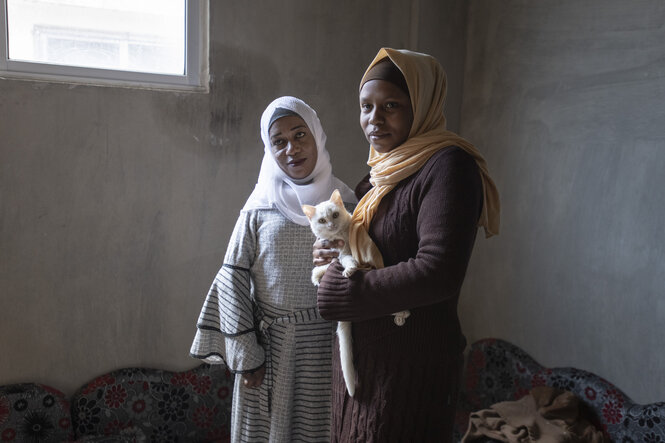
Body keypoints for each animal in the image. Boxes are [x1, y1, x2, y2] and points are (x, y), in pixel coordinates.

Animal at [302, 189, 358, 398]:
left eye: (334, 215)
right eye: (322, 220)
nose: (332, 225)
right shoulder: (339, 253)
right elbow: (347, 259)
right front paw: (349, 269)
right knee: (318, 272)